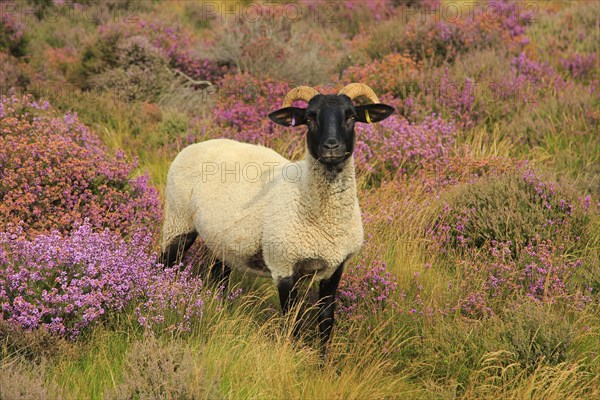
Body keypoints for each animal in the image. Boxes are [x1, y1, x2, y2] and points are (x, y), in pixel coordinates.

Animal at [161, 83, 394, 352]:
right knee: (165, 263)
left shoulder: (335, 269)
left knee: (219, 277)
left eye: (352, 116)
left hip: (224, 241)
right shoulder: (283, 266)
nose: (331, 147)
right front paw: (292, 357)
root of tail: (195, 145)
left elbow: (326, 322)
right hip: (177, 221)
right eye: (309, 118)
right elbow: (293, 322)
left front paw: (323, 361)